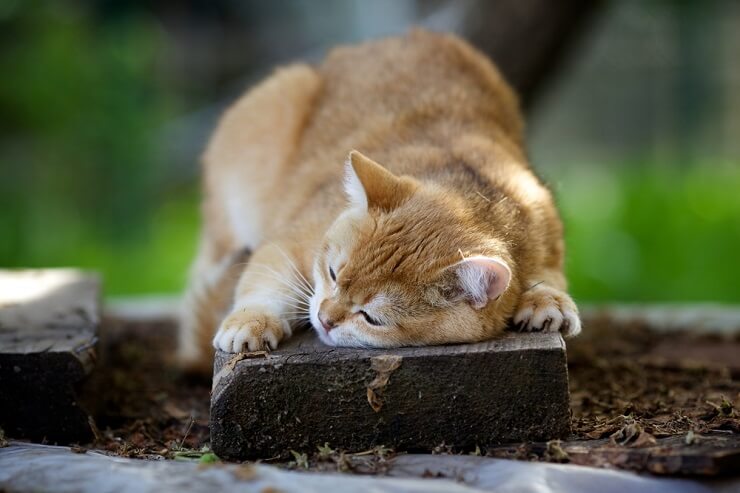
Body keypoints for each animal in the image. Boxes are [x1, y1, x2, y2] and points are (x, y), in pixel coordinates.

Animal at [176, 28, 580, 370]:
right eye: (333, 274)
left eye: (372, 318)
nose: (324, 318)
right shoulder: (286, 243)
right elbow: (263, 284)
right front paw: (251, 321)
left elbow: (549, 276)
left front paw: (546, 299)